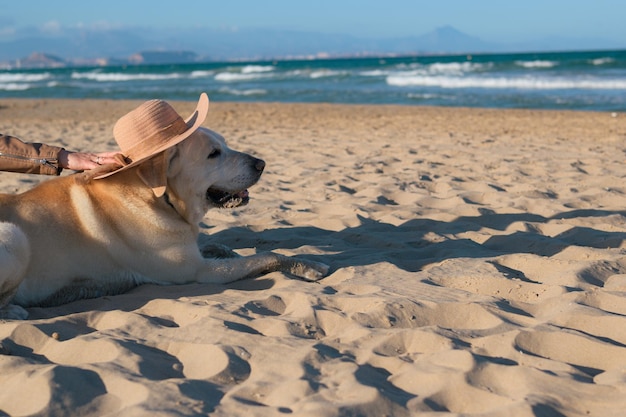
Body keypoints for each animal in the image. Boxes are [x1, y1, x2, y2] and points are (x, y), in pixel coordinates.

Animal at [0, 92, 330, 318]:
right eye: (213, 154)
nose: (261, 164)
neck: (159, 198)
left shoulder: (194, 248)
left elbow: (223, 247)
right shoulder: (198, 271)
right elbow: (266, 256)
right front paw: (309, 265)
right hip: (14, 236)